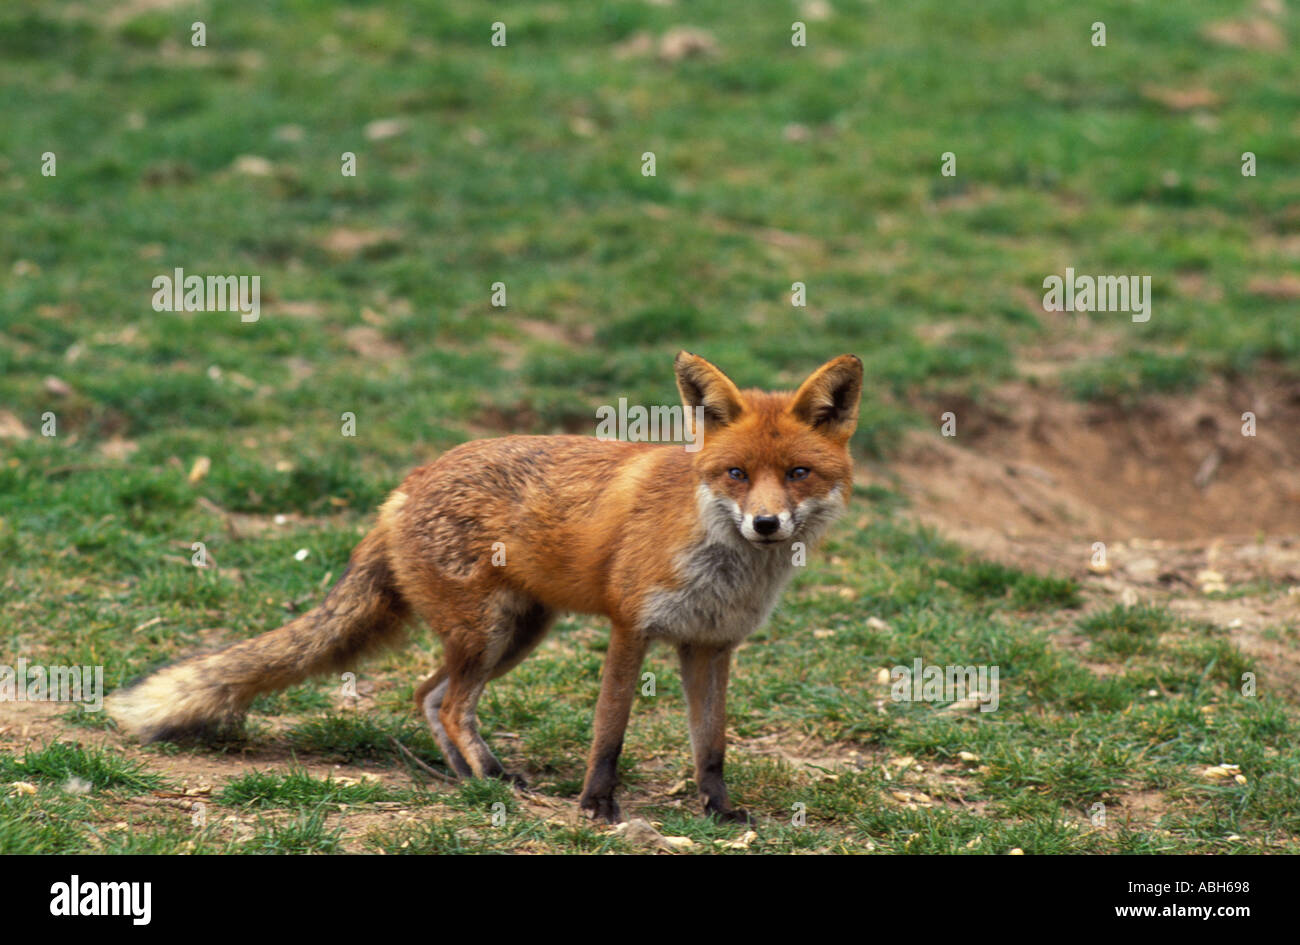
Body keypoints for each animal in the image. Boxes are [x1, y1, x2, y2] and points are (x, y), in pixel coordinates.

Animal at [109, 350, 863, 826]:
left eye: (797, 473)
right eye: (736, 473)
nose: (765, 523)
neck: (722, 560)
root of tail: (406, 484)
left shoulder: (711, 646)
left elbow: (711, 746)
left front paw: (720, 810)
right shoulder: (631, 627)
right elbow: (609, 731)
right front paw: (596, 807)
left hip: (517, 633)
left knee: (430, 694)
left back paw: (472, 776)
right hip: (490, 632)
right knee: (446, 702)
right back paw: (490, 777)